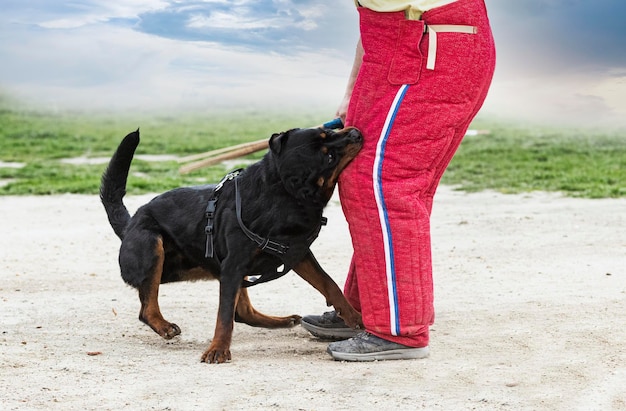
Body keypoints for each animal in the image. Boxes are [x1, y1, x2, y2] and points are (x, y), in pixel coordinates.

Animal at [100, 126, 364, 364]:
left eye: (329, 132)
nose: (356, 133)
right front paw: (218, 349)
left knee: (244, 312)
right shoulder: (234, 265)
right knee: (148, 309)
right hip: (153, 246)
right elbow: (224, 315)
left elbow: (329, 284)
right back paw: (164, 326)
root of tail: (130, 223)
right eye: (329, 157)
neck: (281, 194)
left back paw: (279, 321)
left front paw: (354, 317)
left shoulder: (295, 254)